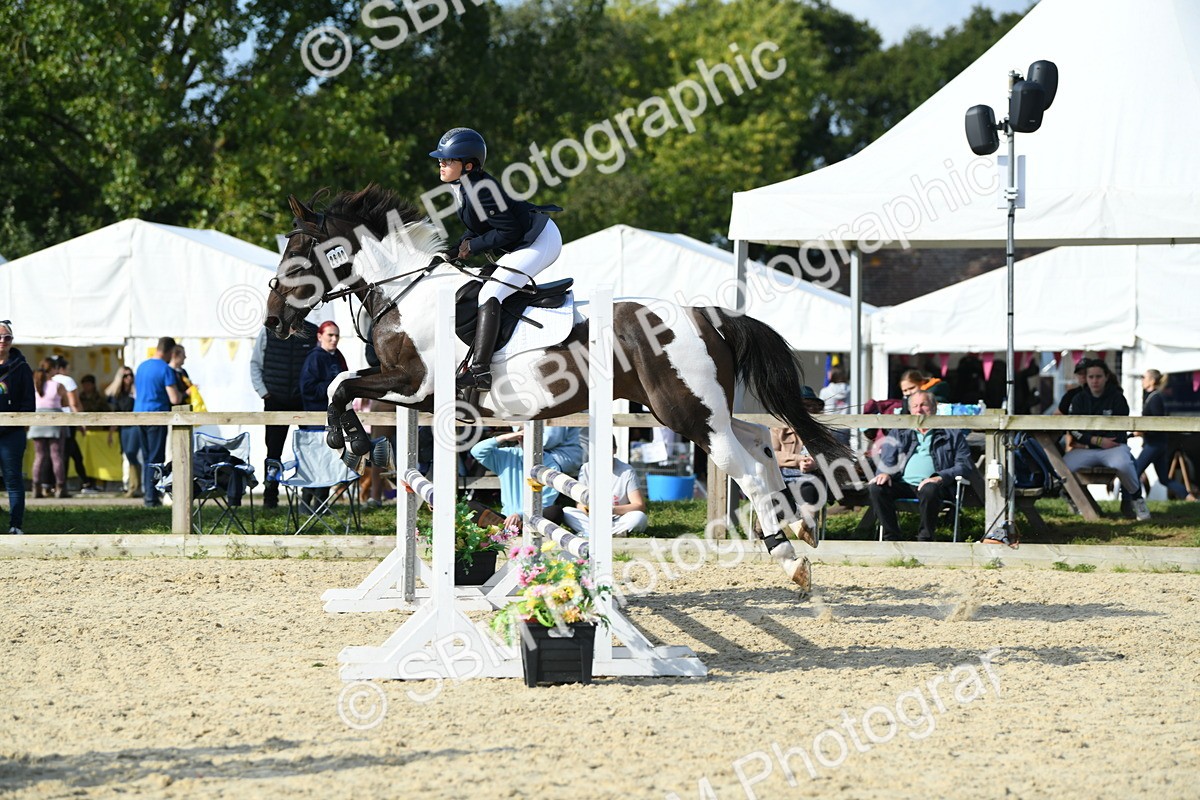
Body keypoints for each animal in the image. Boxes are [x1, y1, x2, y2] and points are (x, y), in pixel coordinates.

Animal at [263, 185, 851, 588]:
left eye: (296, 256)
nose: (273, 321)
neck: (407, 293)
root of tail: (708, 315)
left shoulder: (415, 386)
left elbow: (341, 384)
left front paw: (349, 443)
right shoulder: (408, 390)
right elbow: (343, 384)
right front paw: (353, 443)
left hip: (686, 414)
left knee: (744, 468)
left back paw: (790, 560)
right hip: (702, 411)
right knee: (759, 442)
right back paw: (799, 528)